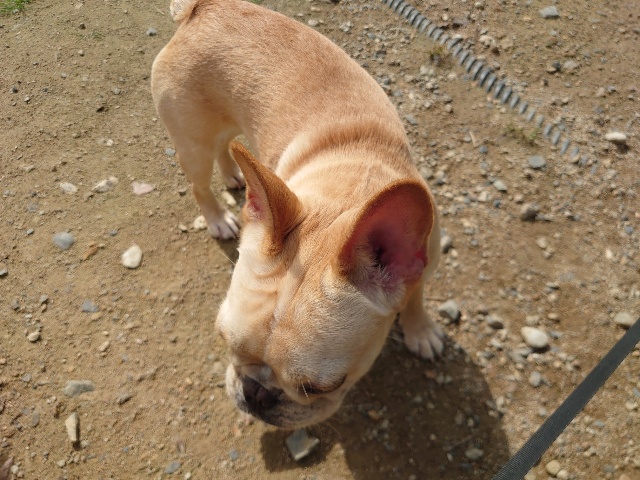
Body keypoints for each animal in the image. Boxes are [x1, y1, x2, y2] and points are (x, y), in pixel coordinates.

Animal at [151, 0, 444, 429]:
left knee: (228, 146)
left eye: (320, 387)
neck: (347, 192)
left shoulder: (421, 261)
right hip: (193, 142)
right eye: (222, 339)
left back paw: (237, 174)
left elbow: (416, 295)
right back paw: (219, 217)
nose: (255, 393)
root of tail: (202, 9)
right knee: (200, 184)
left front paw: (420, 330)